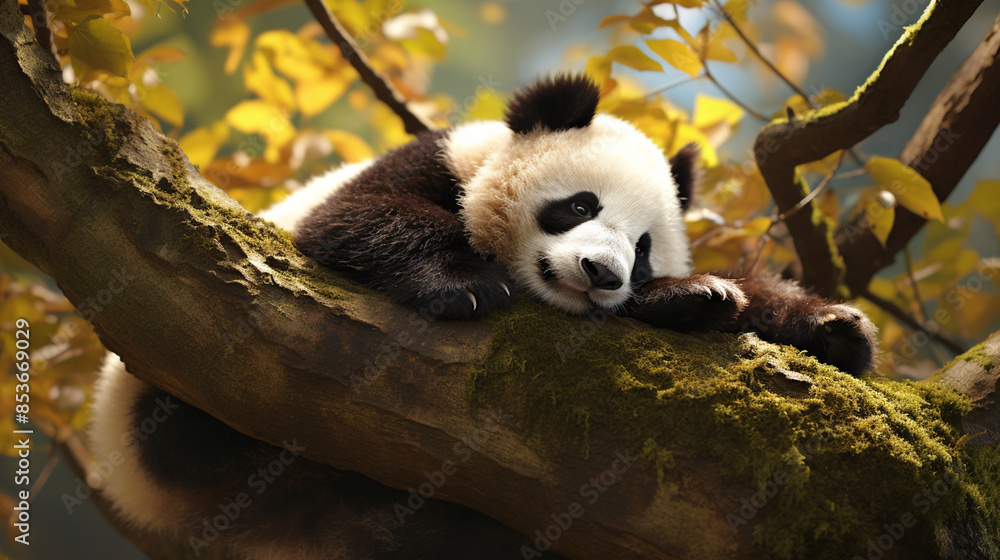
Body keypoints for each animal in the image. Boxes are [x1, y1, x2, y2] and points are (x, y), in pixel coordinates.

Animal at [89, 74, 877, 560]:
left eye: (644, 247)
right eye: (580, 205)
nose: (605, 275)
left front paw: (830, 328)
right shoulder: (425, 162)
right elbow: (358, 220)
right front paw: (465, 286)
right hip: (184, 407)